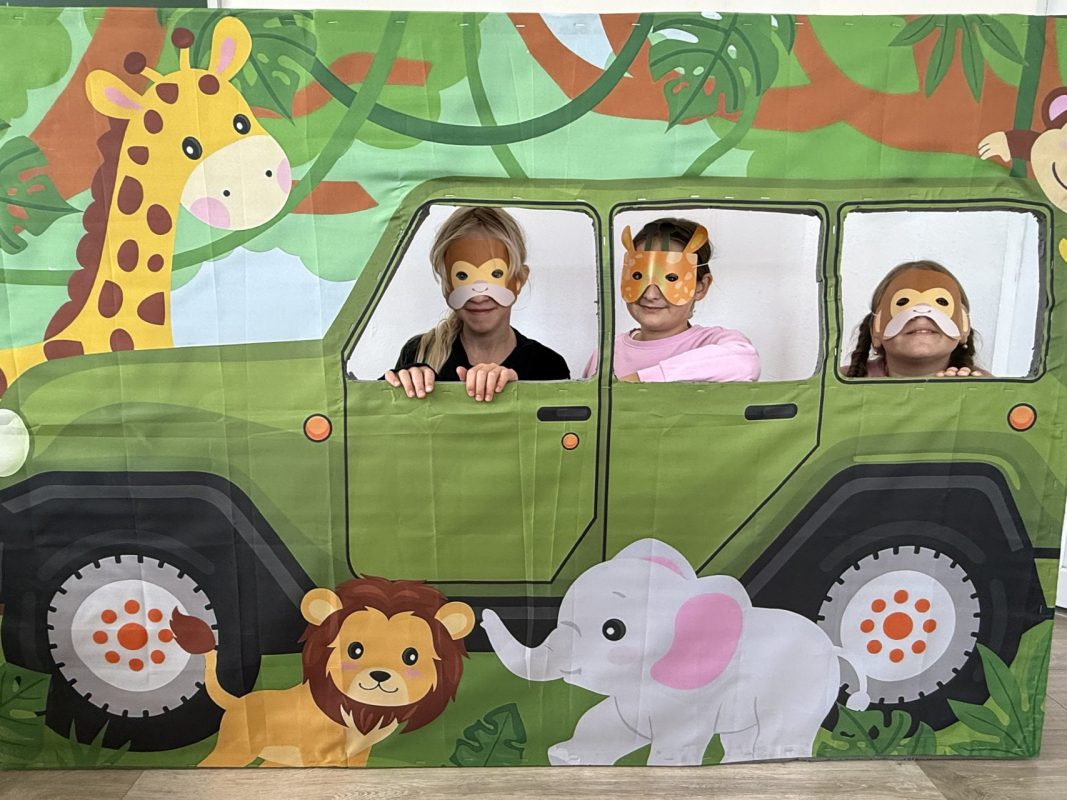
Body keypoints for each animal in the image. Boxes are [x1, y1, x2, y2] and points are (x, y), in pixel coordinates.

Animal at [171, 576, 476, 767]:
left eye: (411, 656)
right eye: (354, 649)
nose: (380, 675)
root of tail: (237, 702)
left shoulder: (360, 752)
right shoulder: (312, 746)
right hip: (238, 747)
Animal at [482, 539, 870, 766]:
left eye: (613, 630)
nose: (482, 615)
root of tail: (834, 647)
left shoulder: (693, 697)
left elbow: (678, 737)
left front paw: (667, 766)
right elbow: (607, 722)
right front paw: (566, 756)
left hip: (802, 687)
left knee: (783, 729)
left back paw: (776, 759)